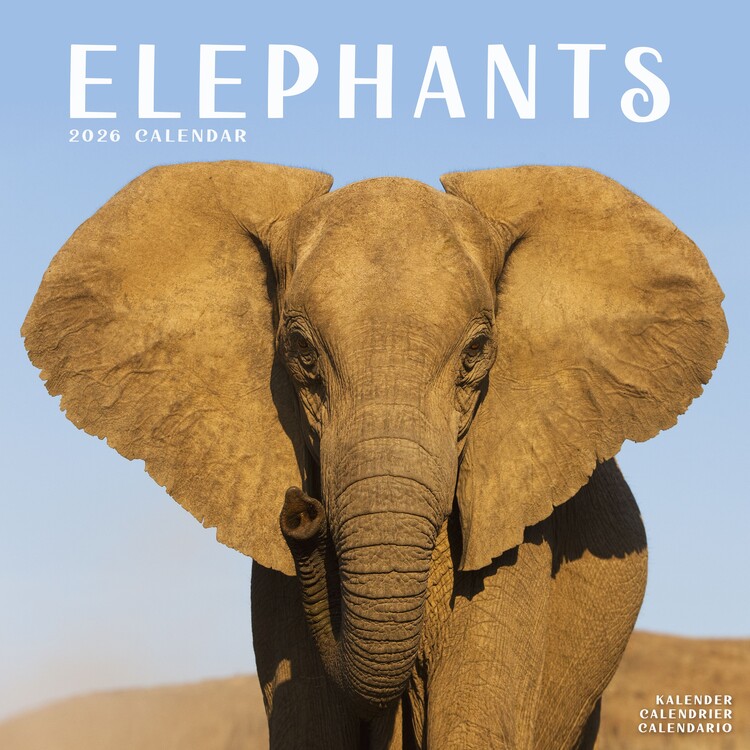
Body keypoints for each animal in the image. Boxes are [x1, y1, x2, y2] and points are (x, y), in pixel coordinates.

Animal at [23, 161, 727, 749]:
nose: (301, 512)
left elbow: (473, 731)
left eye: (477, 353)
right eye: (302, 353)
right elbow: (309, 729)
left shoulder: (521, 542)